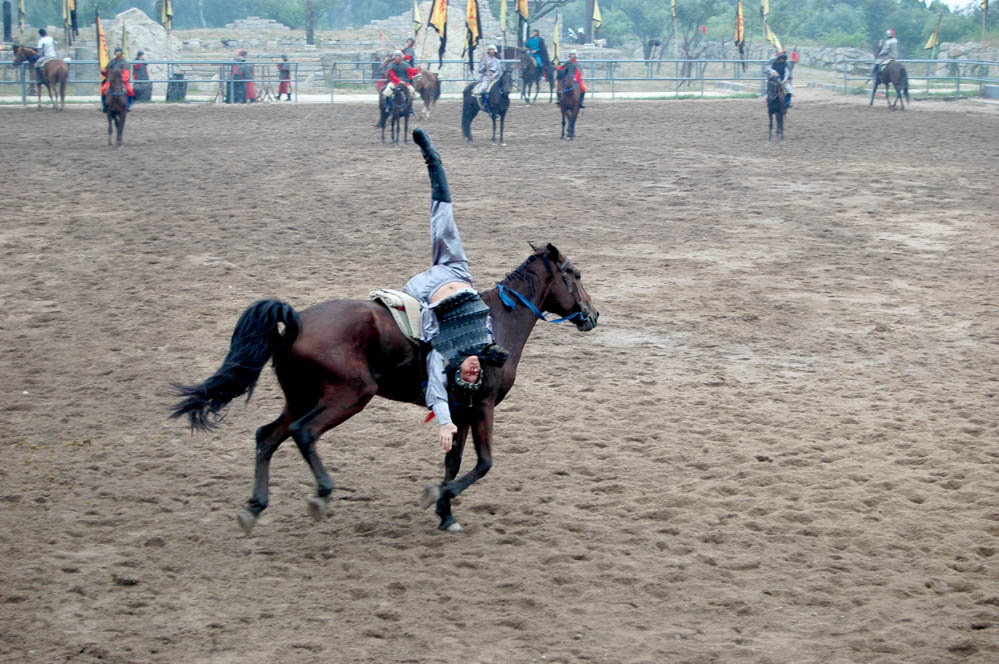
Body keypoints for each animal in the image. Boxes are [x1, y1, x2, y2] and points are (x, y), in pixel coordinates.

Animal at [170, 243, 599, 534]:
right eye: (575, 274)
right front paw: (437, 497)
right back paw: (322, 493)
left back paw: (255, 506)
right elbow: (483, 464)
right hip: (347, 396)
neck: (493, 323)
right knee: (302, 432)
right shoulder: (483, 407)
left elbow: (454, 461)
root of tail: (294, 321)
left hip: (301, 397)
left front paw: (446, 513)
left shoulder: (459, 409)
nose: (592, 314)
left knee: (267, 436)